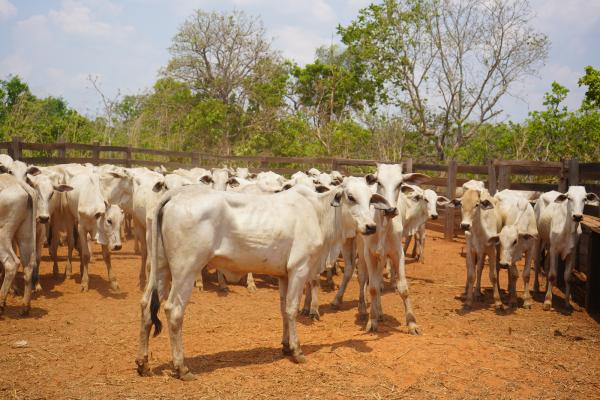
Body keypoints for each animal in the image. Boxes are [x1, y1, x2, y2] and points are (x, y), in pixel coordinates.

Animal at [135, 180, 394, 380]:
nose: (370, 226)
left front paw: (285, 346)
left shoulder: (284, 275)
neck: (319, 214)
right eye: (351, 197)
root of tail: (175, 193)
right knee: (173, 310)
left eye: (371, 200)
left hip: (161, 268)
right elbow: (291, 309)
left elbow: (282, 309)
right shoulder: (299, 268)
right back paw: (181, 367)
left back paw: (142, 362)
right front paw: (297, 351)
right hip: (185, 270)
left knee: (146, 305)